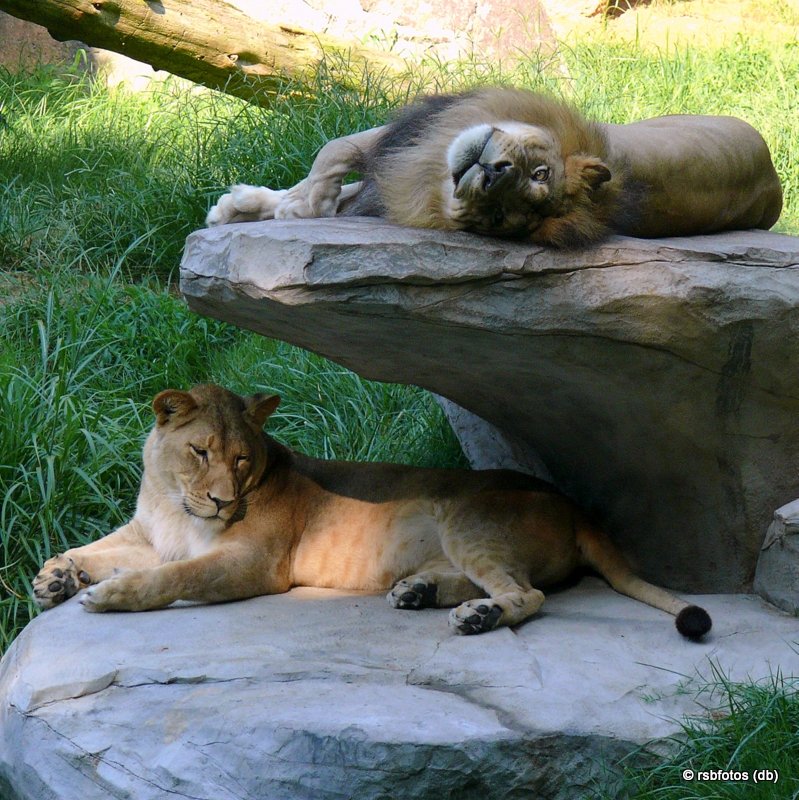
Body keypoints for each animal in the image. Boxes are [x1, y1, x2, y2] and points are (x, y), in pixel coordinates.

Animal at [32, 384, 712, 640]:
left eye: (243, 459)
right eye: (201, 451)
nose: (223, 499)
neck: (176, 503)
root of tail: (574, 506)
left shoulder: (252, 563)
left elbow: (174, 575)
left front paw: (109, 594)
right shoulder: (147, 533)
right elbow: (96, 547)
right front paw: (56, 576)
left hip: (468, 519)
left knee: (528, 594)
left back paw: (476, 618)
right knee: (504, 582)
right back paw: (418, 592)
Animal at [205, 86, 780, 245]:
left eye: (497, 219)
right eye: (540, 174)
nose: (494, 174)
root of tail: (774, 185)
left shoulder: (405, 156)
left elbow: (332, 158)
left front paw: (301, 208)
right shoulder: (412, 144)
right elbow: (332, 155)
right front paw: (243, 207)